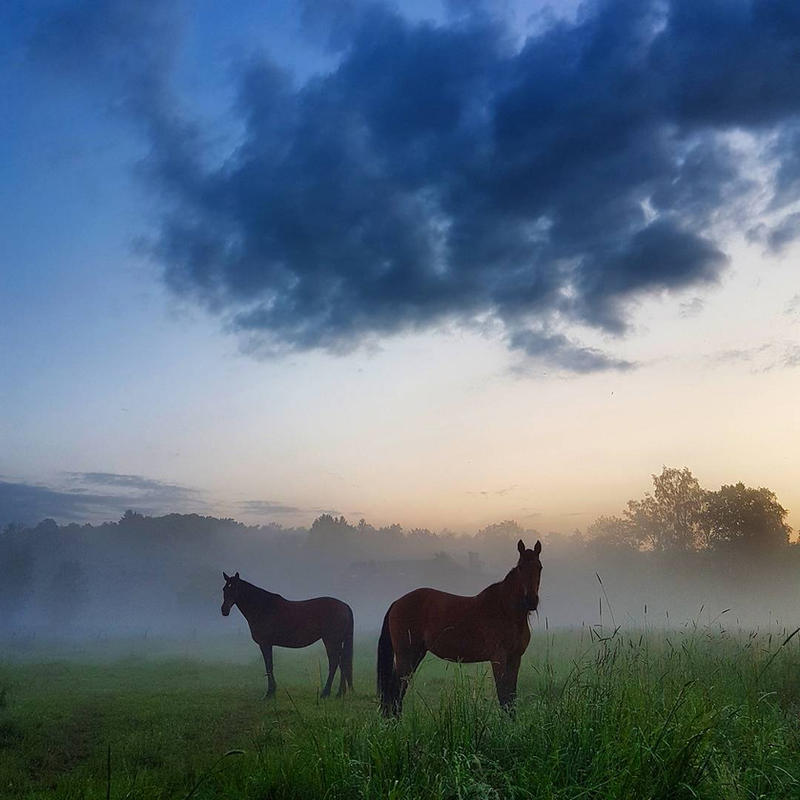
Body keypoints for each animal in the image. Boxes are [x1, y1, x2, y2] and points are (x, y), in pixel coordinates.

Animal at [220, 572, 354, 696]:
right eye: (224, 589)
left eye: (235, 588)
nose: (224, 610)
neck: (262, 608)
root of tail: (345, 606)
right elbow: (269, 665)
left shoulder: (265, 644)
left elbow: (269, 666)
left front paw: (270, 693)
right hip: (337, 641)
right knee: (343, 662)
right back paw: (340, 693)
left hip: (331, 640)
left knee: (334, 662)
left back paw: (326, 693)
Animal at [376, 540, 540, 716]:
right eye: (521, 567)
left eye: (539, 567)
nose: (531, 600)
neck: (506, 610)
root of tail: (396, 603)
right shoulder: (498, 658)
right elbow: (503, 696)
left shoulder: (515, 658)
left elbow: (511, 697)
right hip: (405, 656)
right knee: (395, 690)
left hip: (415, 654)